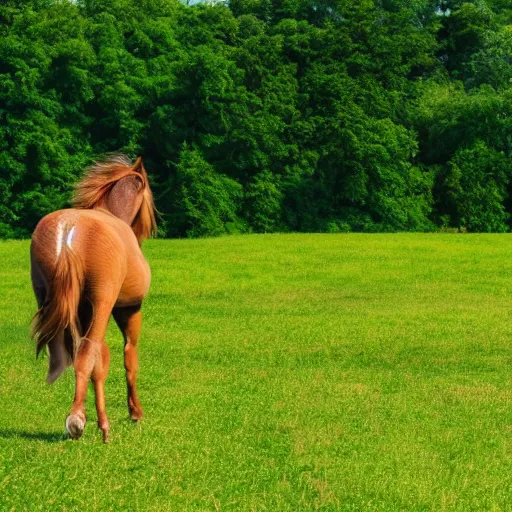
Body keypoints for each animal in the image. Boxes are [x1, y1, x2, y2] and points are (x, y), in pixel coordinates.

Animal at [30, 154, 156, 442]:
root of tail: (69, 230)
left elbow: (101, 362)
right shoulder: (127, 309)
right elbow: (128, 358)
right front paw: (134, 412)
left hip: (57, 304)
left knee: (74, 353)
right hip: (102, 303)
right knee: (88, 353)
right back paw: (80, 420)